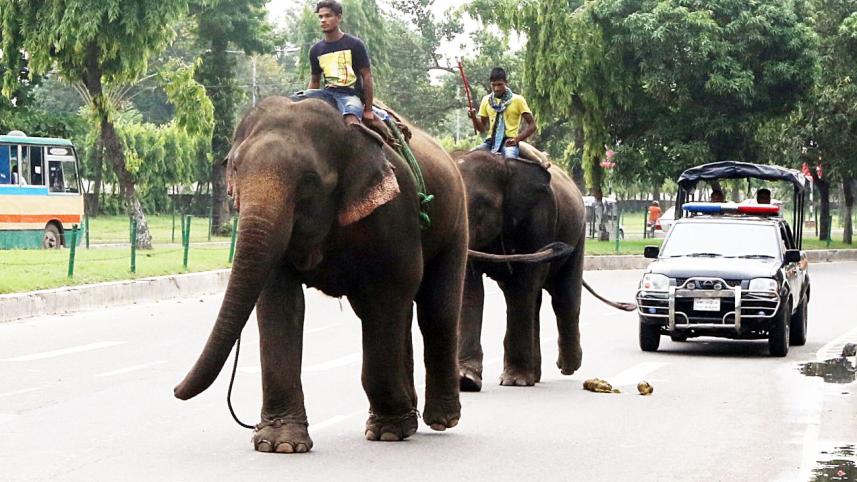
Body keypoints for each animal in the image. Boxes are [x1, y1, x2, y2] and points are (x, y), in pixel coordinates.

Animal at [174, 96, 467, 453]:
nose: (174, 391)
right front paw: (279, 444)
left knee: (435, 310)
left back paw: (440, 420)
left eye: (310, 181)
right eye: (235, 169)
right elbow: (280, 301)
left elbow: (390, 290)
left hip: (456, 222)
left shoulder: (395, 212)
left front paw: (387, 432)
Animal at [455, 149, 587, 391]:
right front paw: (466, 380)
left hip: (579, 232)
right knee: (534, 301)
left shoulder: (537, 219)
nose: (557, 247)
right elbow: (470, 290)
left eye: (482, 205)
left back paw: (568, 366)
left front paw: (515, 382)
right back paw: (535, 374)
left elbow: (523, 285)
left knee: (563, 298)